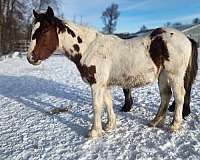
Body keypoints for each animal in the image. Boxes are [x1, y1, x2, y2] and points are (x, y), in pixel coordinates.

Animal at [27, 6, 198, 138]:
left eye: (44, 31)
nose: (30, 57)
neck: (89, 48)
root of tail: (187, 38)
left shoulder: (96, 84)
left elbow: (97, 106)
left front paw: (94, 132)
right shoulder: (104, 84)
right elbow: (108, 103)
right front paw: (109, 125)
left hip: (175, 75)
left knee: (179, 96)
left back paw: (174, 125)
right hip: (163, 76)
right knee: (165, 96)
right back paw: (155, 122)